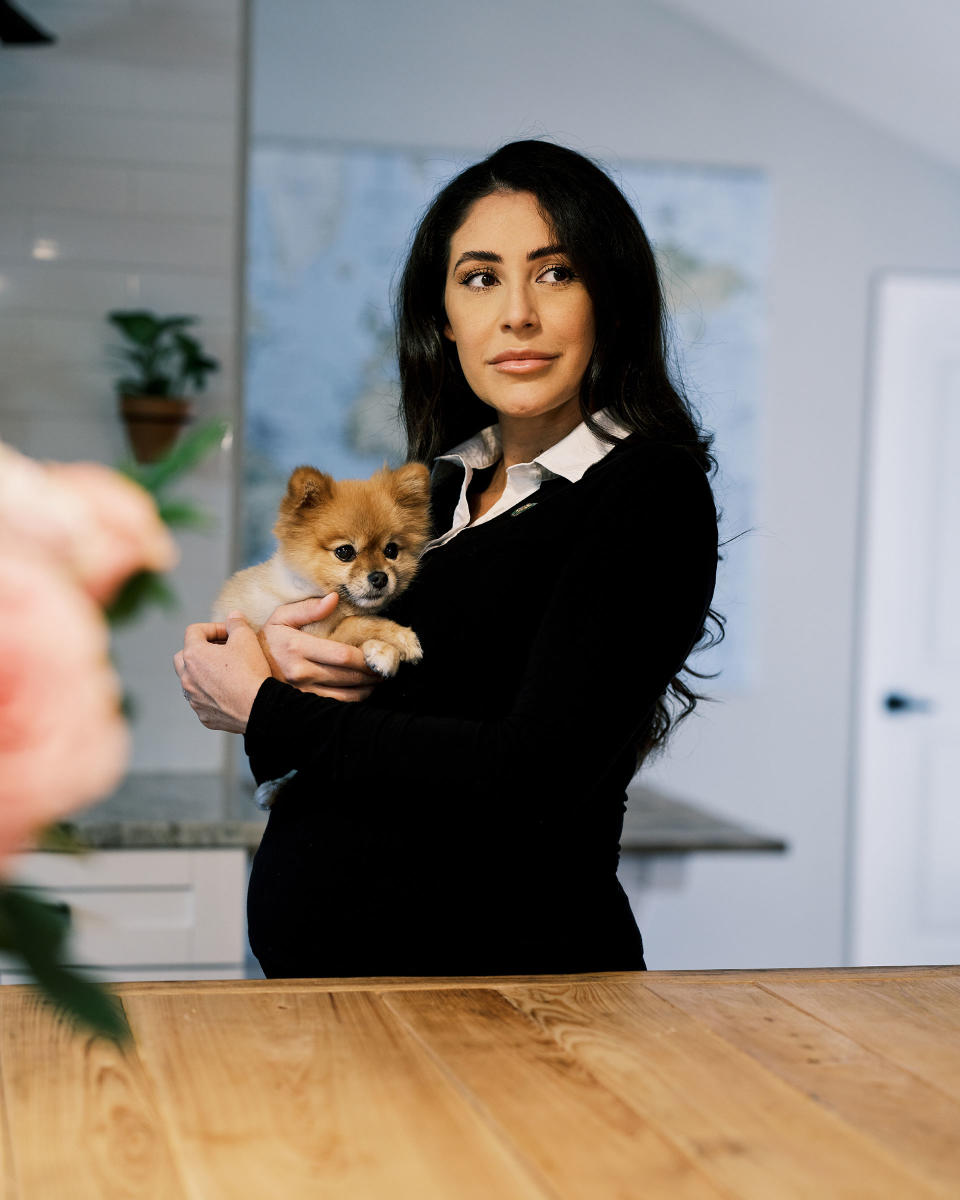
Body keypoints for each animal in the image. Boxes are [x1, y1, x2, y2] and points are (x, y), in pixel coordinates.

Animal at [216, 458, 432, 806]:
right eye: (345, 552)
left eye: (391, 550)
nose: (380, 577)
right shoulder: (312, 634)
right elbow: (355, 623)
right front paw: (398, 641)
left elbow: (358, 622)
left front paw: (383, 651)